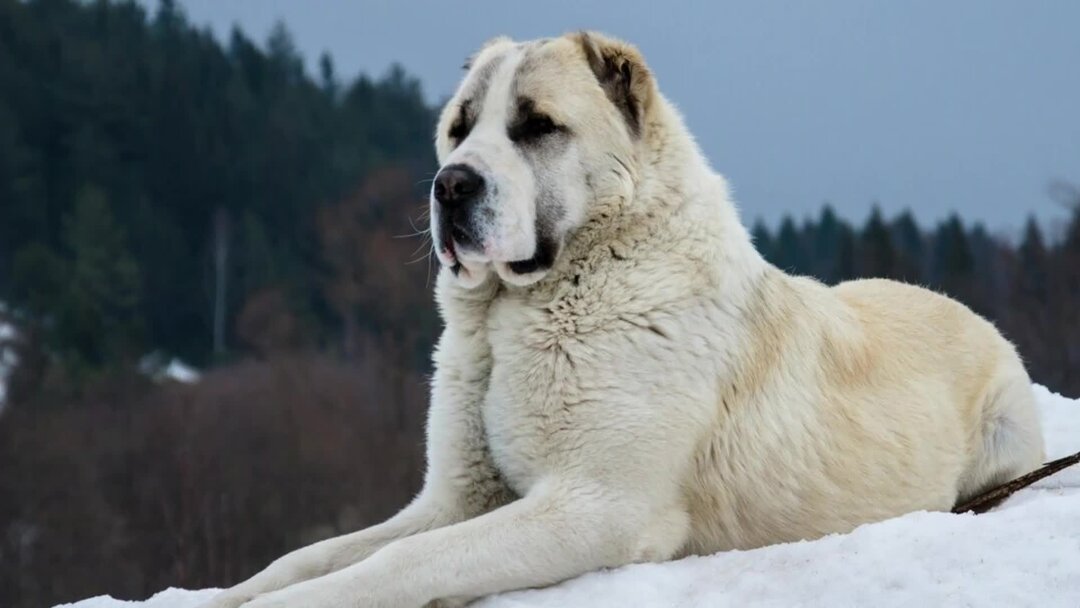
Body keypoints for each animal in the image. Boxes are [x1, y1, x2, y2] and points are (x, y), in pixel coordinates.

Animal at [200, 32, 1036, 608]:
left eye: (537, 126)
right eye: (459, 127)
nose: (451, 185)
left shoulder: (594, 506)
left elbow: (396, 563)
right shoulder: (454, 500)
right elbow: (316, 553)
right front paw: (229, 596)